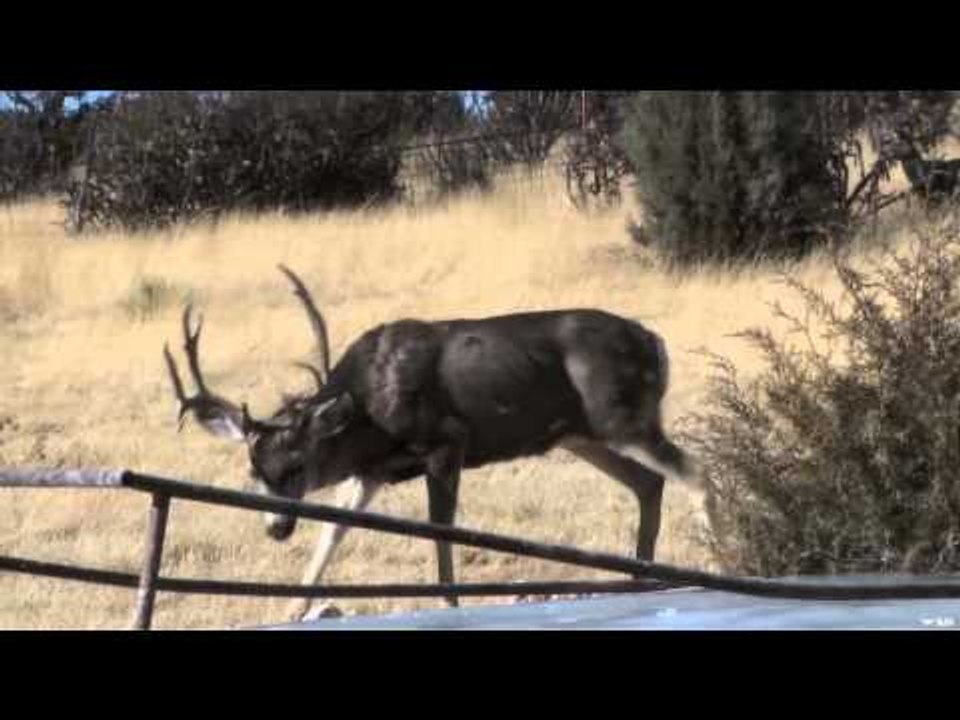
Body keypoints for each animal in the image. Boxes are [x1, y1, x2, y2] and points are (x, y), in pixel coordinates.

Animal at [163, 265, 697, 621]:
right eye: (253, 468)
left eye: (295, 466)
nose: (275, 528)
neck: (369, 409)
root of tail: (656, 342)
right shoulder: (371, 471)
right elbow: (333, 531)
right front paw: (293, 610)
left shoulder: (446, 440)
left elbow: (441, 531)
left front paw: (450, 602)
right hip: (582, 435)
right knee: (649, 483)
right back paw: (640, 578)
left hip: (622, 418)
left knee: (685, 470)